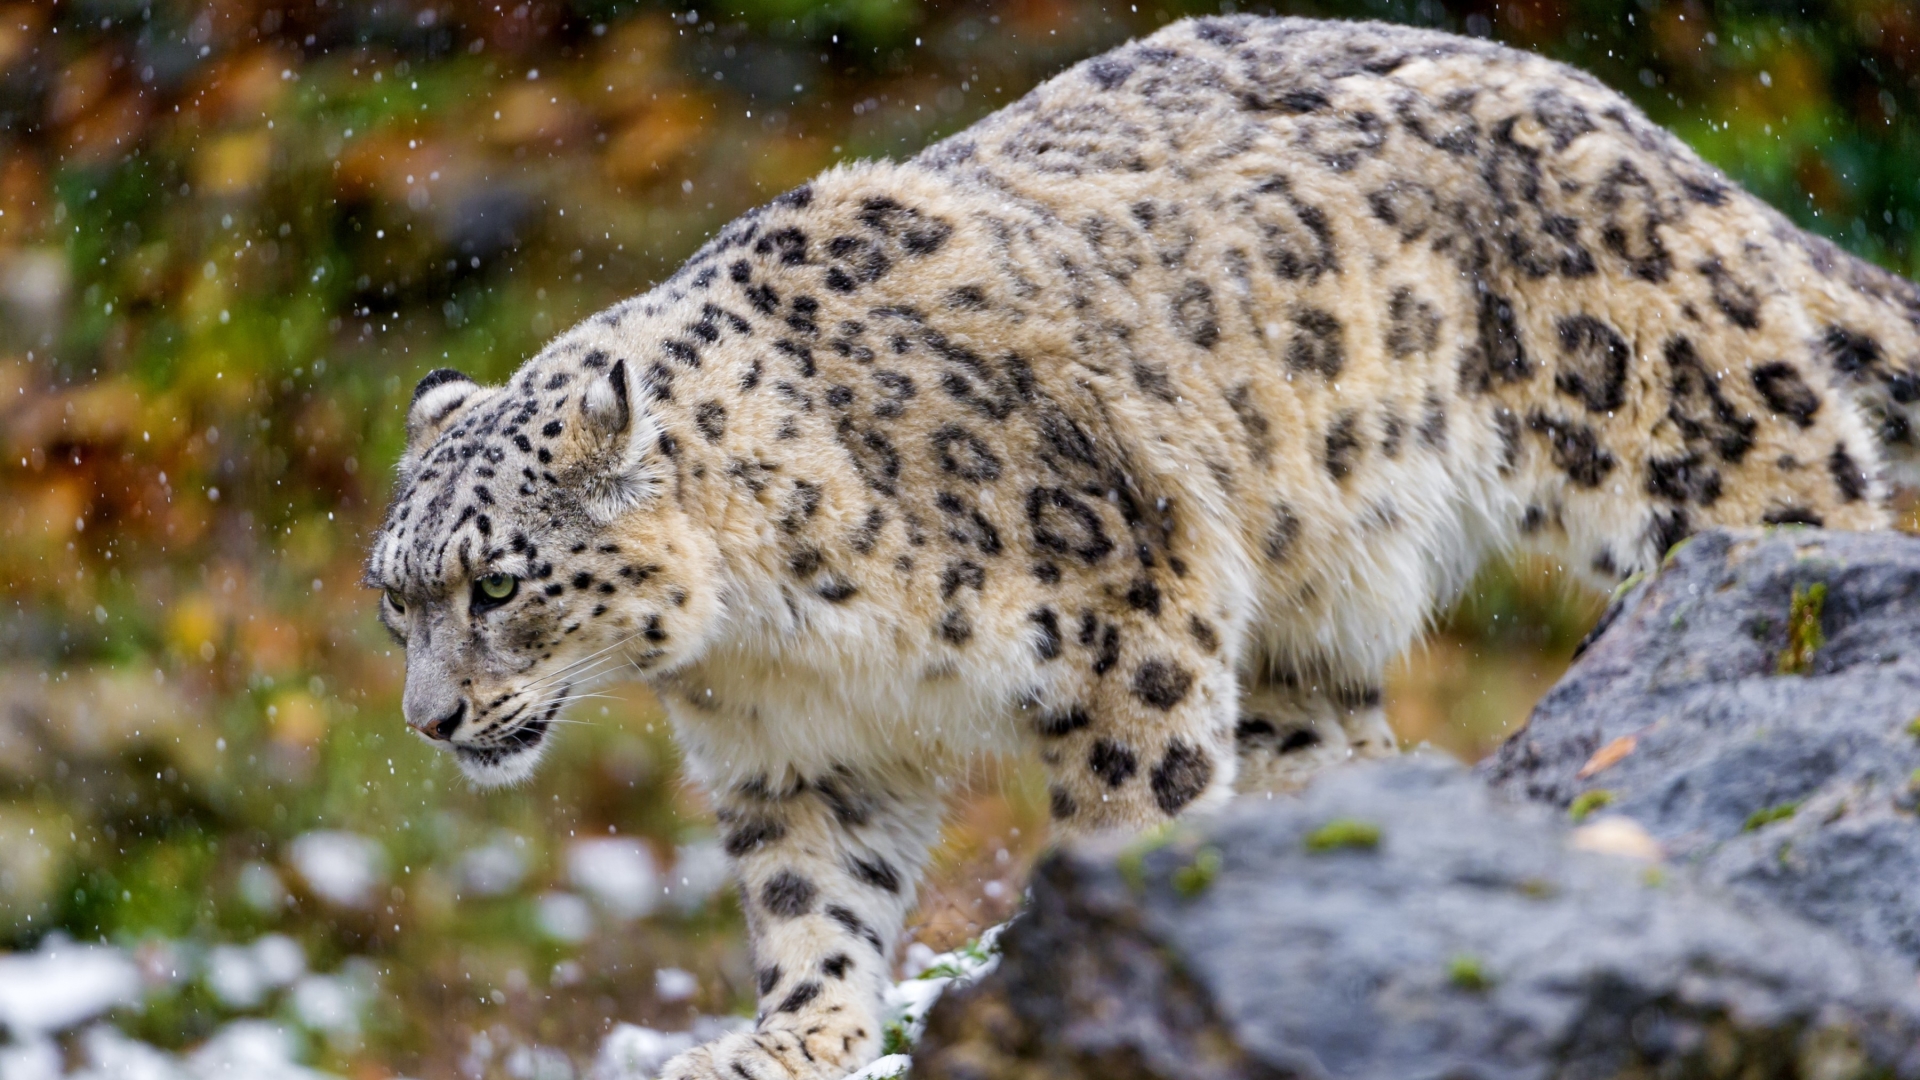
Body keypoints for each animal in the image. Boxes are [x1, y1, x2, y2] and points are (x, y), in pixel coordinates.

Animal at [364, 15, 1920, 1079]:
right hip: (1306, 629)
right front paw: (788, 1039)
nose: (429, 718)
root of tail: (1622, 117)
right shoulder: (797, 752)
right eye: (394, 603)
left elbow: (1132, 804)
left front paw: (1092, 948)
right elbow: (814, 901)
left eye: (496, 583)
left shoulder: (1133, 613)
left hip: (1692, 434)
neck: (778, 637)